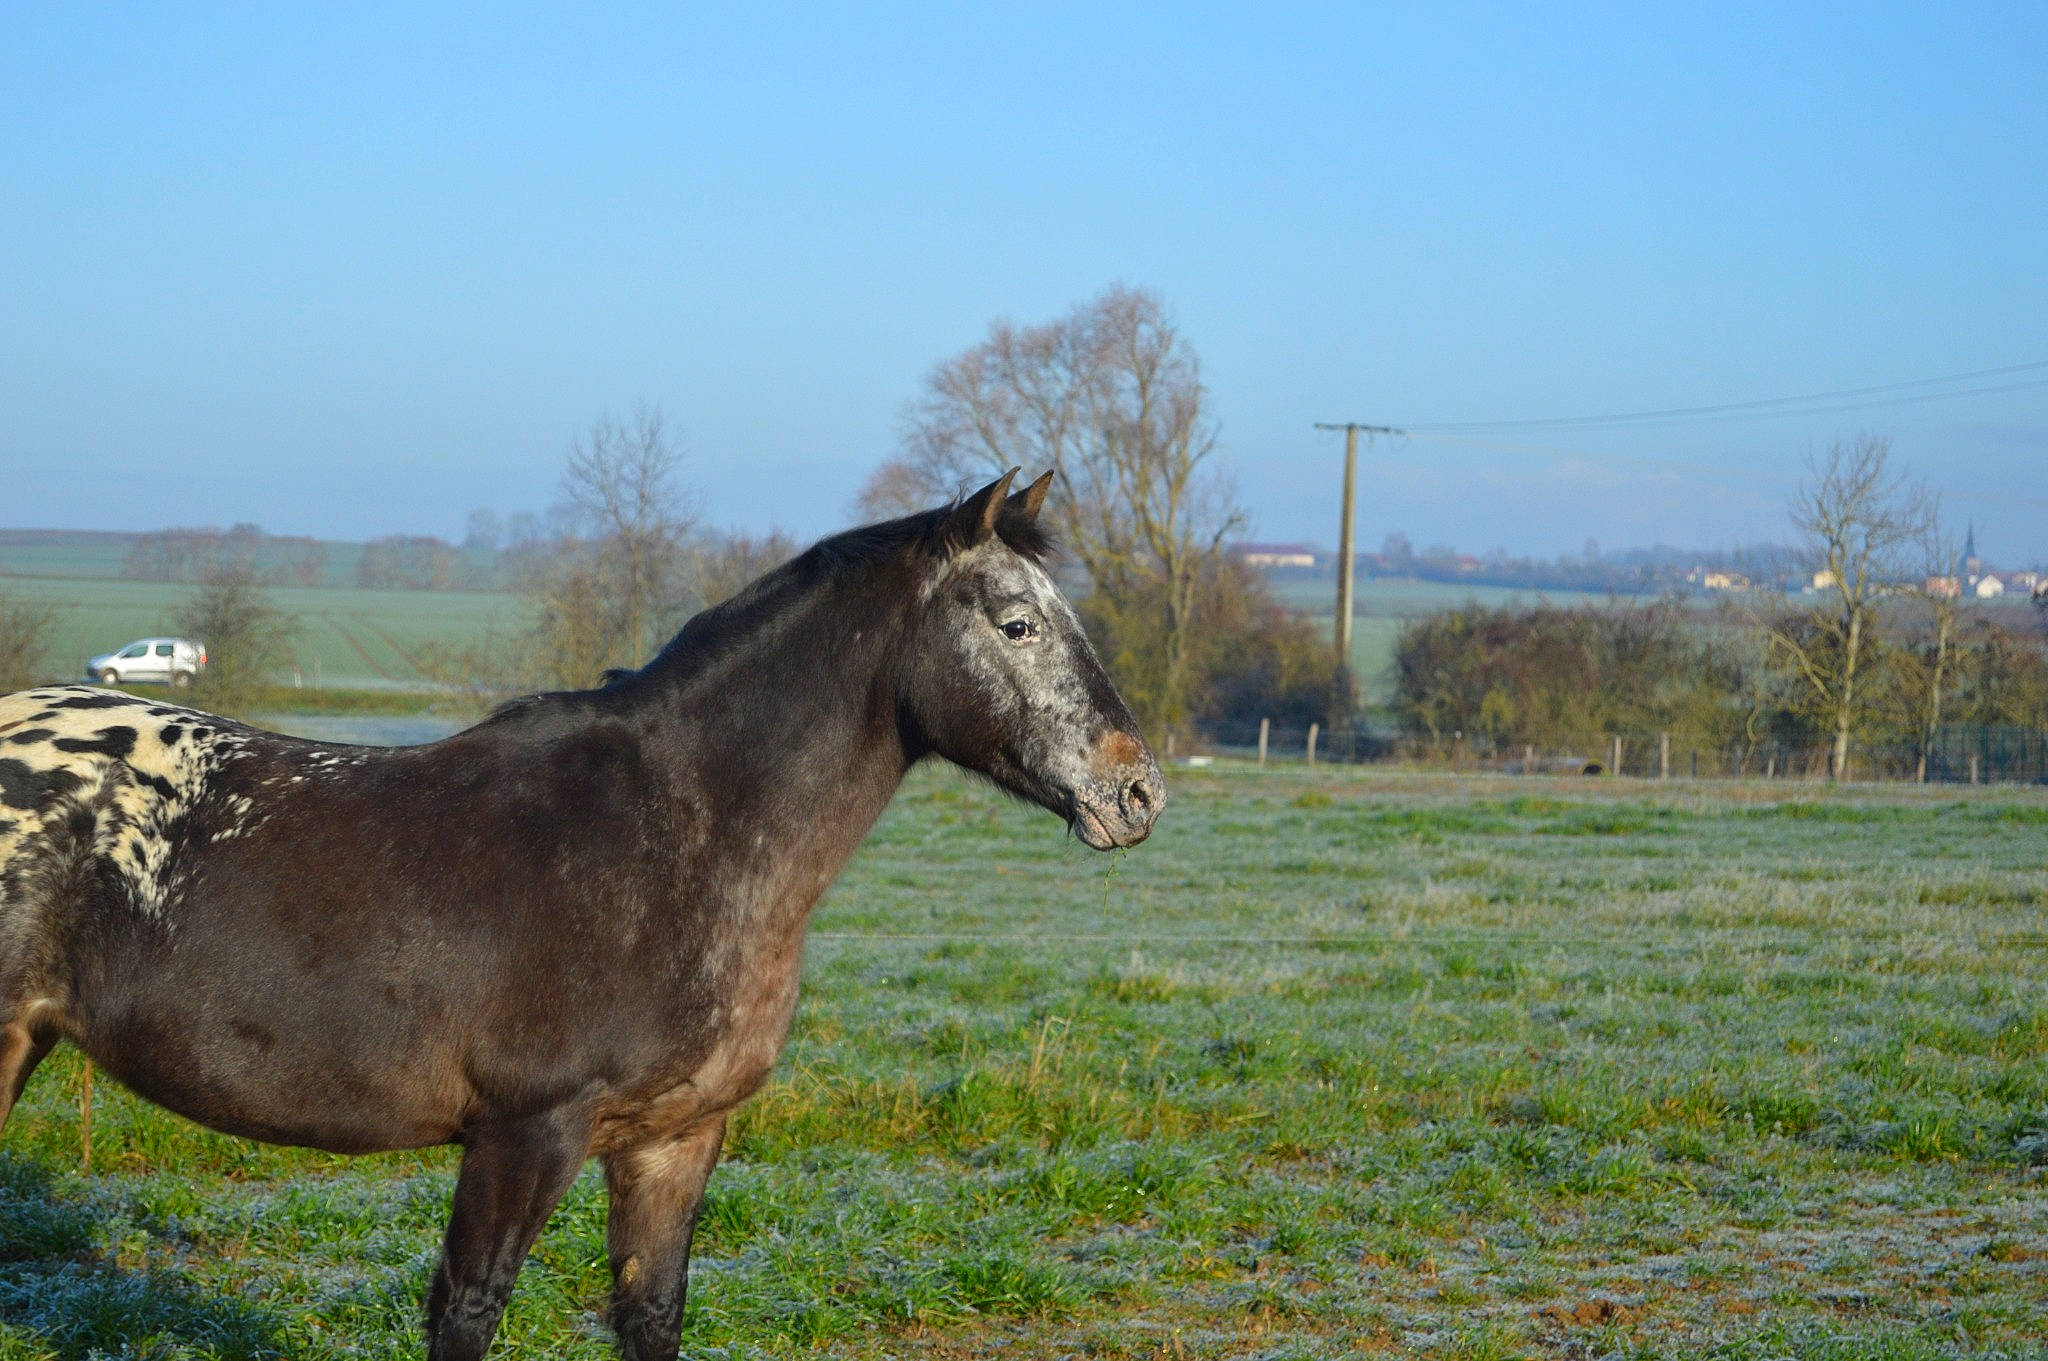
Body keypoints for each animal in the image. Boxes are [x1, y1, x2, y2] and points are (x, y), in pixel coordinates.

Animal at [0, 469, 1162, 1361]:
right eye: (1017, 623)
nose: (1137, 790)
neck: (678, 833)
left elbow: (651, 1313)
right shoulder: (526, 1132)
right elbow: (467, 1312)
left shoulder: (675, 1138)